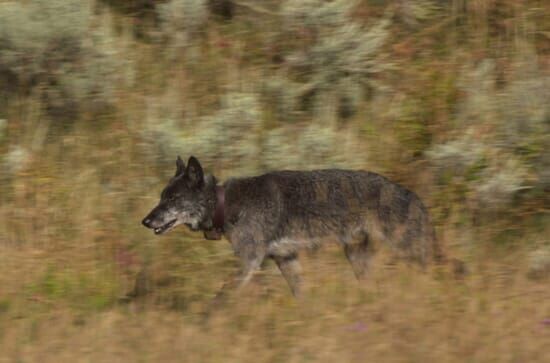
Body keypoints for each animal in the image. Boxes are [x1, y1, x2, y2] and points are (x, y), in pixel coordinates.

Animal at [142, 156, 448, 296]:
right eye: (161, 196)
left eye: (172, 198)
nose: (145, 221)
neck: (225, 204)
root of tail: (413, 196)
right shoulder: (286, 259)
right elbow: (301, 293)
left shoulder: (250, 262)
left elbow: (220, 297)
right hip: (358, 259)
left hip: (412, 254)